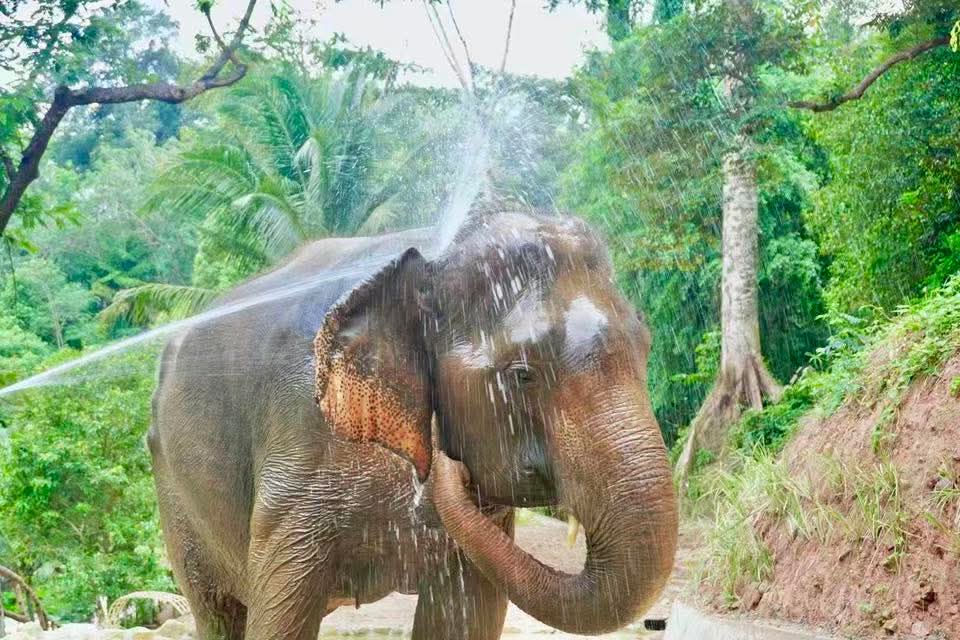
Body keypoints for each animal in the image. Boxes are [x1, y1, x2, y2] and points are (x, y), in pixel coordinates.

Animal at [148, 208, 678, 640]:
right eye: (522, 374)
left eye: (647, 345)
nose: (447, 468)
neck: (426, 262)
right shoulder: (298, 455)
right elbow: (279, 618)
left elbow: (466, 615)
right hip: (176, 497)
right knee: (218, 615)